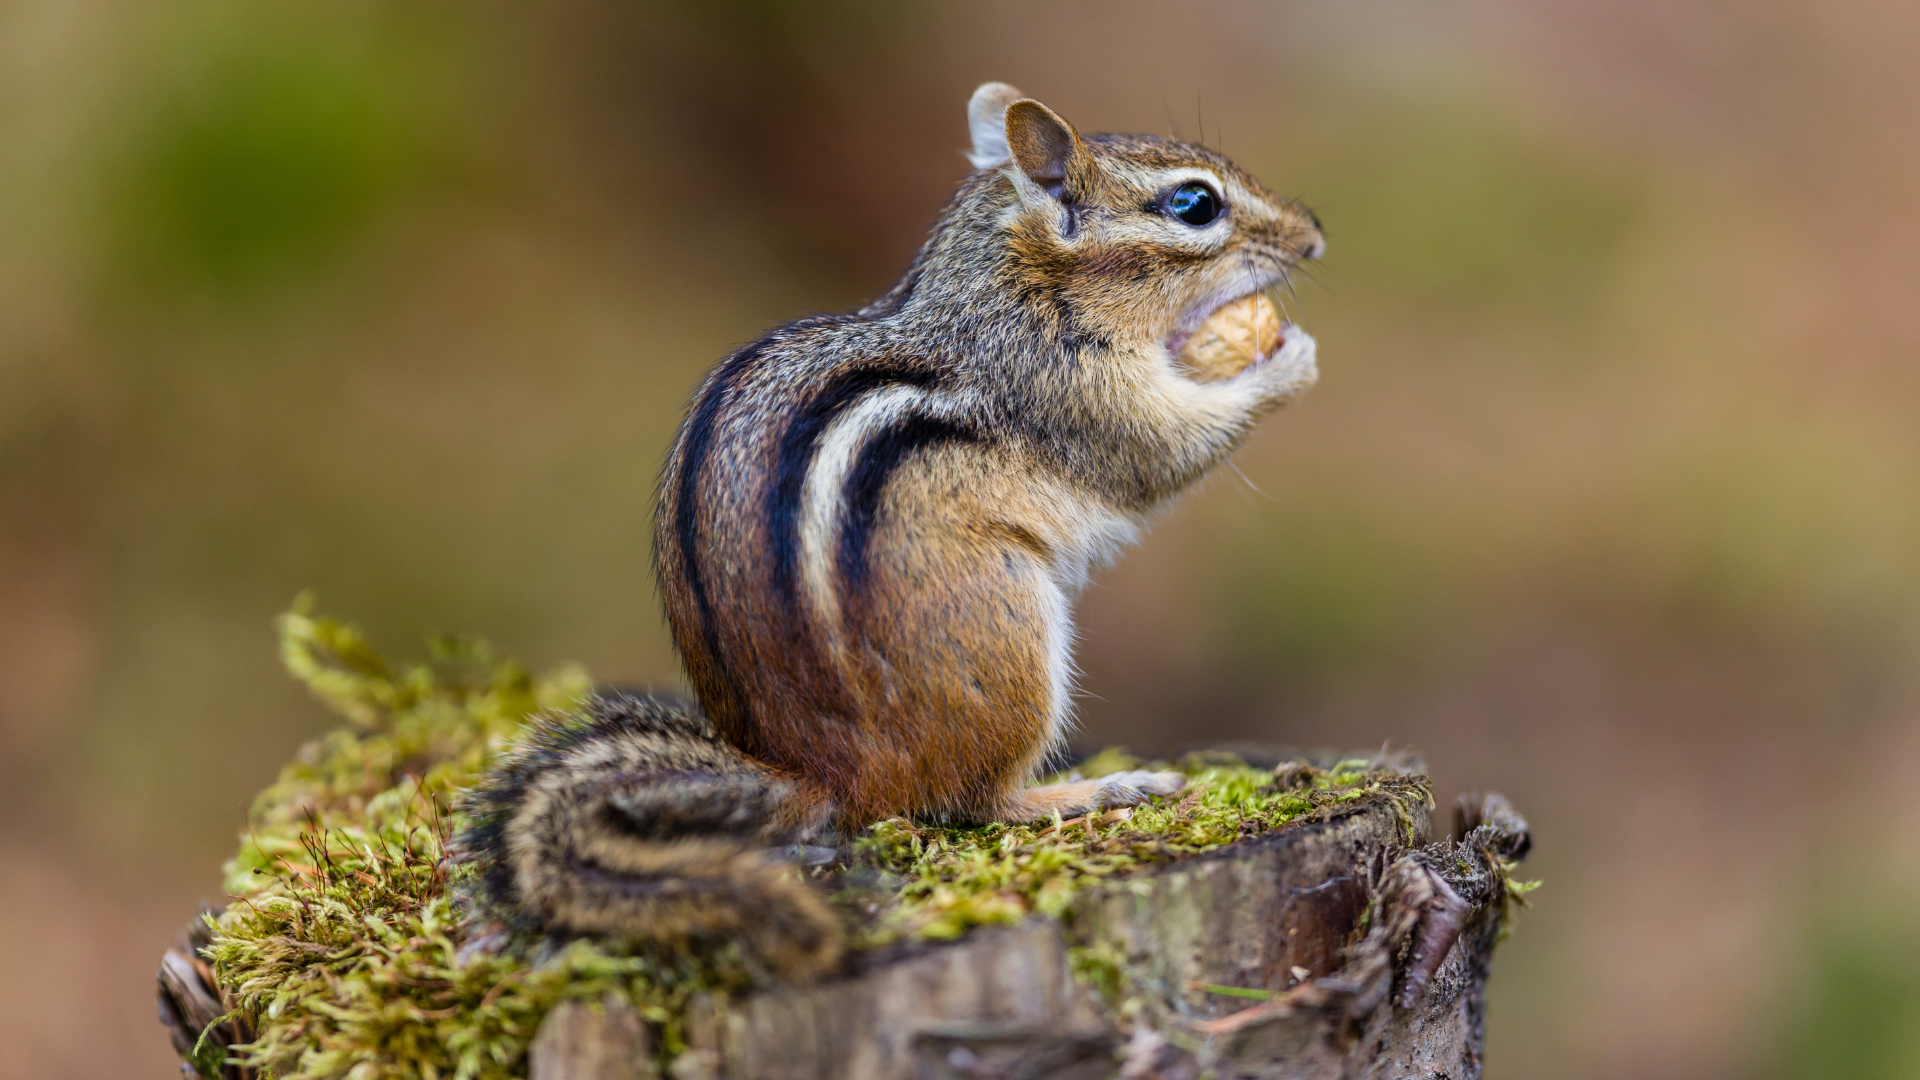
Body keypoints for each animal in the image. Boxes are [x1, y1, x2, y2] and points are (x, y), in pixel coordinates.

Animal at [454, 83, 1324, 978]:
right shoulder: (1073, 394)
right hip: (1007, 638)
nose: (1313, 235)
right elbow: (1165, 452)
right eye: (1195, 205)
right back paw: (1099, 789)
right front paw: (1289, 360)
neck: (1013, 289)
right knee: (974, 802)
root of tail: (825, 776)